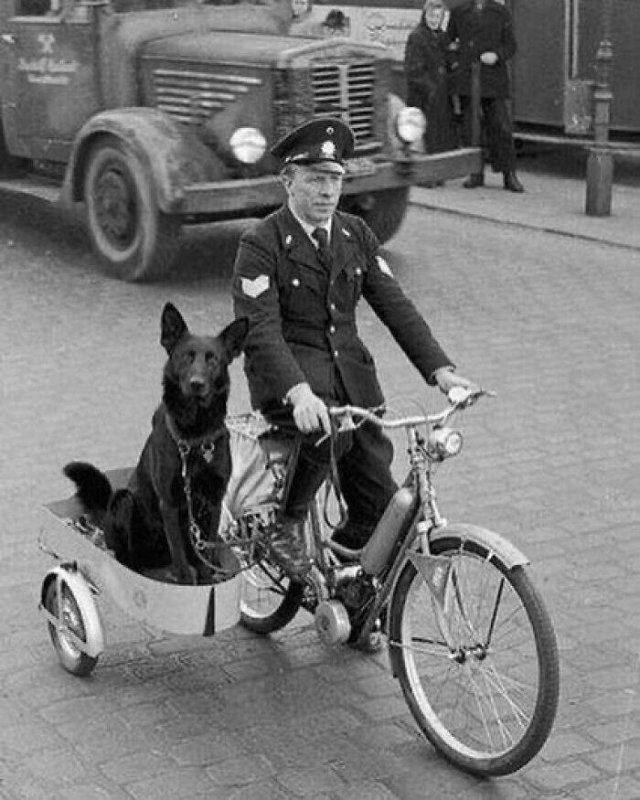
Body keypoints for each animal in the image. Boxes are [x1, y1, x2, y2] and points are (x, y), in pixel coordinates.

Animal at [63, 304, 248, 584]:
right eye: (185, 357)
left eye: (213, 359)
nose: (196, 383)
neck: (194, 435)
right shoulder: (168, 503)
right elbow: (181, 560)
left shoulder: (214, 501)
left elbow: (206, 552)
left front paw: (207, 578)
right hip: (125, 501)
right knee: (128, 560)